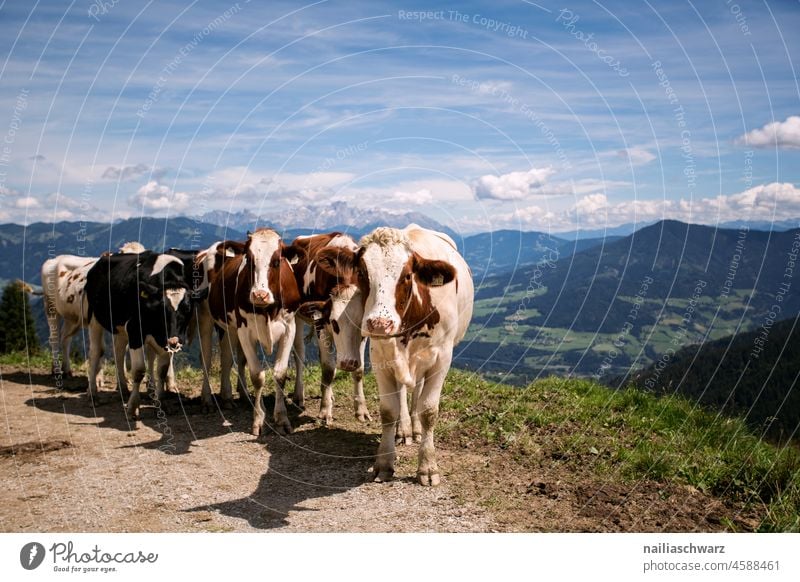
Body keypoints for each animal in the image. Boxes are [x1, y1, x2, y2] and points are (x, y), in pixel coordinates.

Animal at [84, 251, 206, 420]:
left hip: (121, 328)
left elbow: (162, 370)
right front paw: (132, 408)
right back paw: (92, 395)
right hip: (94, 317)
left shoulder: (161, 339)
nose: (174, 340)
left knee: (119, 351)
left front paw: (162, 404)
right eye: (162, 308)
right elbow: (139, 370)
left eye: (188, 308)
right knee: (96, 352)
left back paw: (123, 388)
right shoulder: (135, 330)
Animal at [208, 230, 302, 436]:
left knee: (241, 359)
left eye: (277, 261)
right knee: (227, 359)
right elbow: (257, 376)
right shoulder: (244, 330)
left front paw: (281, 418)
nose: (260, 295)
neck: (268, 309)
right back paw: (228, 397)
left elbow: (280, 374)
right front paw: (259, 419)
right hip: (223, 327)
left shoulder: (289, 328)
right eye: (249, 260)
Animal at [290, 230, 370, 426]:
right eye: (334, 322)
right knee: (299, 353)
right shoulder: (321, 322)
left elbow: (359, 370)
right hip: (296, 316)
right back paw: (299, 395)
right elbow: (327, 369)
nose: (348, 363)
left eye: (361, 324)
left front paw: (361, 410)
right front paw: (325, 411)